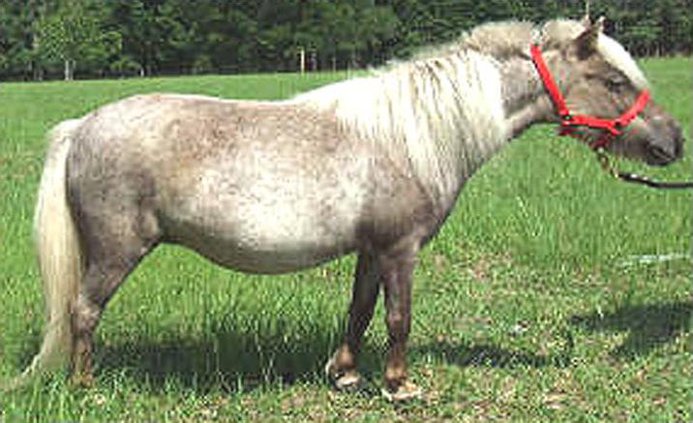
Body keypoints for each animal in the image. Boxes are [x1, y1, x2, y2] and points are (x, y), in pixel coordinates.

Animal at [18, 17, 685, 401]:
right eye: (615, 82)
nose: (673, 142)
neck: (414, 136)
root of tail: (83, 126)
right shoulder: (400, 250)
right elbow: (397, 319)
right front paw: (400, 386)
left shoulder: (371, 251)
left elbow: (360, 312)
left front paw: (345, 374)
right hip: (115, 252)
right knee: (82, 312)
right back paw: (86, 389)